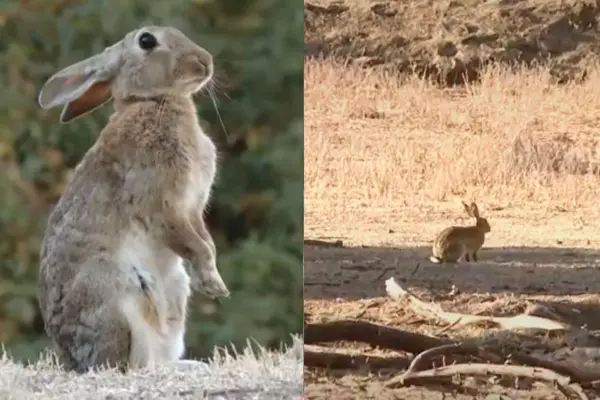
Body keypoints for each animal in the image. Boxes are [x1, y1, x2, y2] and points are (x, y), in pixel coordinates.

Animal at [36, 26, 231, 374]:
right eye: (146, 41)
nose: (204, 63)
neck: (154, 100)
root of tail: (73, 361)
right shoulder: (163, 206)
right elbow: (194, 244)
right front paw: (214, 286)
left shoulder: (193, 208)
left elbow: (205, 241)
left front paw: (214, 282)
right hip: (116, 295)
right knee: (128, 366)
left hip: (174, 295)